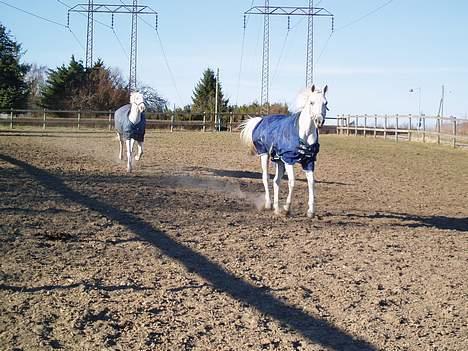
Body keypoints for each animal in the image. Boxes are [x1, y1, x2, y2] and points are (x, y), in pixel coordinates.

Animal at [239, 85, 328, 217]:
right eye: (311, 102)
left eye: (325, 103)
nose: (319, 121)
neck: (304, 134)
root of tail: (260, 120)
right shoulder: (289, 160)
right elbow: (292, 182)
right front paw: (287, 208)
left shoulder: (309, 161)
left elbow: (311, 183)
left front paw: (311, 211)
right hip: (264, 154)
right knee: (266, 178)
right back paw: (268, 204)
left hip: (279, 160)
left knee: (276, 180)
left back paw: (276, 207)